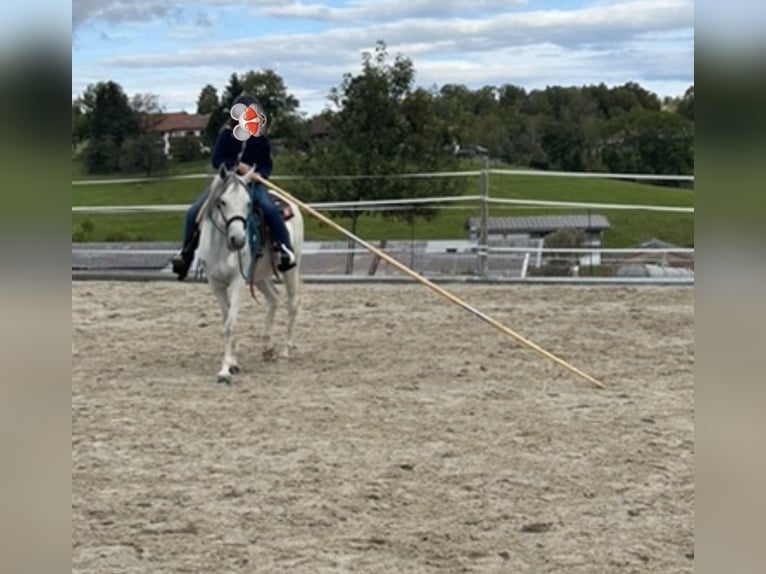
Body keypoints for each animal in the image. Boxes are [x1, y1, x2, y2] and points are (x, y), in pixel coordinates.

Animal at [197, 164, 304, 384]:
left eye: (248, 203)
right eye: (222, 201)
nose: (238, 240)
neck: (222, 248)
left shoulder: (238, 281)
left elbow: (230, 324)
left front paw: (224, 371)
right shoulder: (216, 284)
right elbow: (226, 320)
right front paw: (233, 363)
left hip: (291, 269)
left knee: (292, 304)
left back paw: (285, 352)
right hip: (260, 275)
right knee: (274, 298)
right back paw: (267, 348)